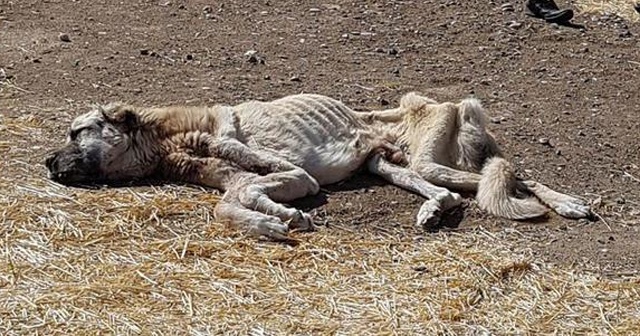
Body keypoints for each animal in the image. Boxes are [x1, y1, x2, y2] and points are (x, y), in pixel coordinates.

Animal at [47, 92, 592, 239]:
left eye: (76, 132)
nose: (47, 162)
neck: (168, 140)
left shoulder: (294, 173)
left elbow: (240, 184)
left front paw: (277, 216)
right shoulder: (246, 183)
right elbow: (231, 203)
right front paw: (276, 219)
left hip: (432, 156)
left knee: (515, 176)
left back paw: (570, 204)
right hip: (391, 168)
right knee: (453, 193)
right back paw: (431, 212)